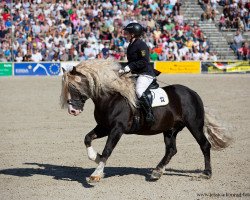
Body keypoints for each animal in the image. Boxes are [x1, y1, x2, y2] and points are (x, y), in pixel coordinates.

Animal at [59, 58, 231, 183]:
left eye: (74, 87)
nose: (73, 111)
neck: (111, 98)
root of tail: (193, 93)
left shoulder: (117, 129)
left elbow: (108, 149)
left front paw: (96, 173)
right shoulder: (104, 127)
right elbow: (87, 138)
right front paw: (95, 157)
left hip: (194, 125)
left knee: (204, 145)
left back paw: (206, 173)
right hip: (170, 129)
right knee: (171, 150)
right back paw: (157, 172)